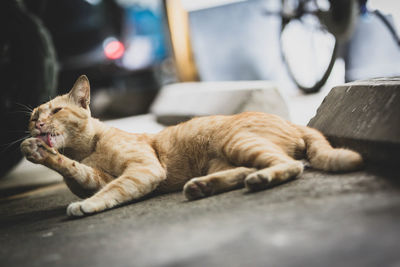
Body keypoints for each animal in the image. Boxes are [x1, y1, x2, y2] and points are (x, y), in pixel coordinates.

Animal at [19, 75, 362, 218]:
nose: (39, 125)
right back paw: (203, 186)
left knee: (290, 165)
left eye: (56, 111)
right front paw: (37, 151)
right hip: (225, 156)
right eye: (34, 116)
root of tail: (297, 123)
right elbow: (77, 171)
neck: (89, 148)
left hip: (236, 141)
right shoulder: (94, 177)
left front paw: (86, 206)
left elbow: (112, 190)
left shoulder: (143, 169)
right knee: (249, 169)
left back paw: (258, 180)